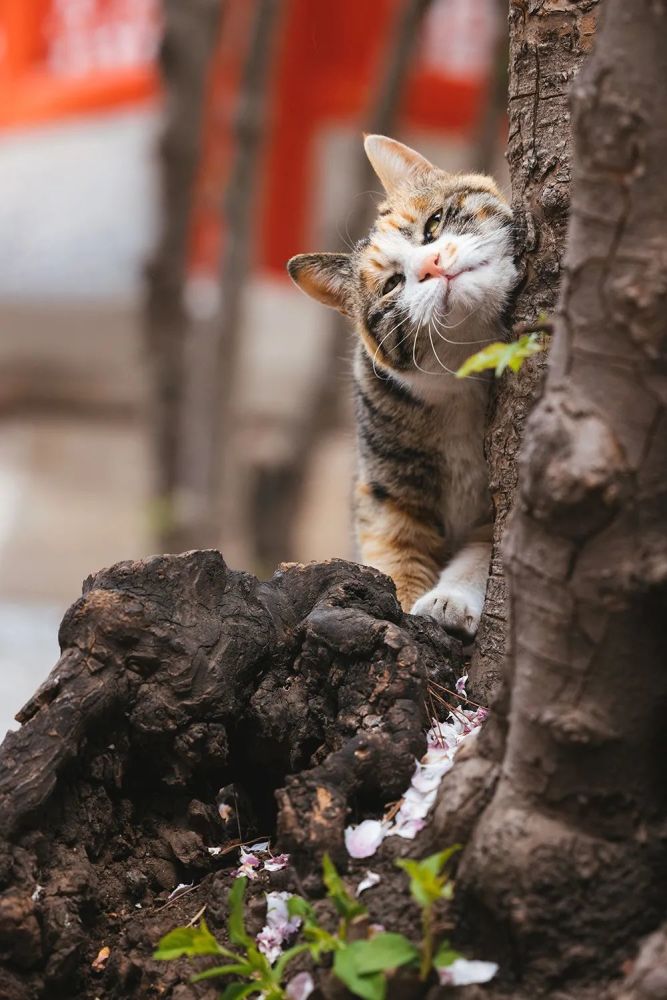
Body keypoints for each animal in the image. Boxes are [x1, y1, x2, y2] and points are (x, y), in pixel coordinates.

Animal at [288, 135, 516, 640]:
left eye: (433, 224)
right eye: (393, 284)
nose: (431, 263)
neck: (463, 383)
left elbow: (483, 549)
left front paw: (451, 599)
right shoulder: (384, 493)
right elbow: (394, 555)